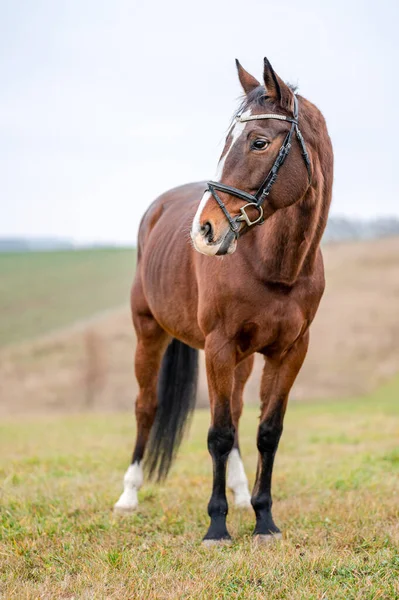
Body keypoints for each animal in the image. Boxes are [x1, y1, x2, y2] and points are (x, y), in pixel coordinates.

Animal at [115, 56, 334, 544]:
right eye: (227, 143)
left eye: (259, 141)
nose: (205, 231)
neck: (274, 265)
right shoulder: (218, 347)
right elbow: (217, 433)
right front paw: (217, 525)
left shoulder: (290, 351)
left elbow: (266, 431)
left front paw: (263, 518)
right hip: (149, 335)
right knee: (145, 408)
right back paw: (129, 496)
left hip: (243, 358)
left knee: (234, 411)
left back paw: (239, 492)